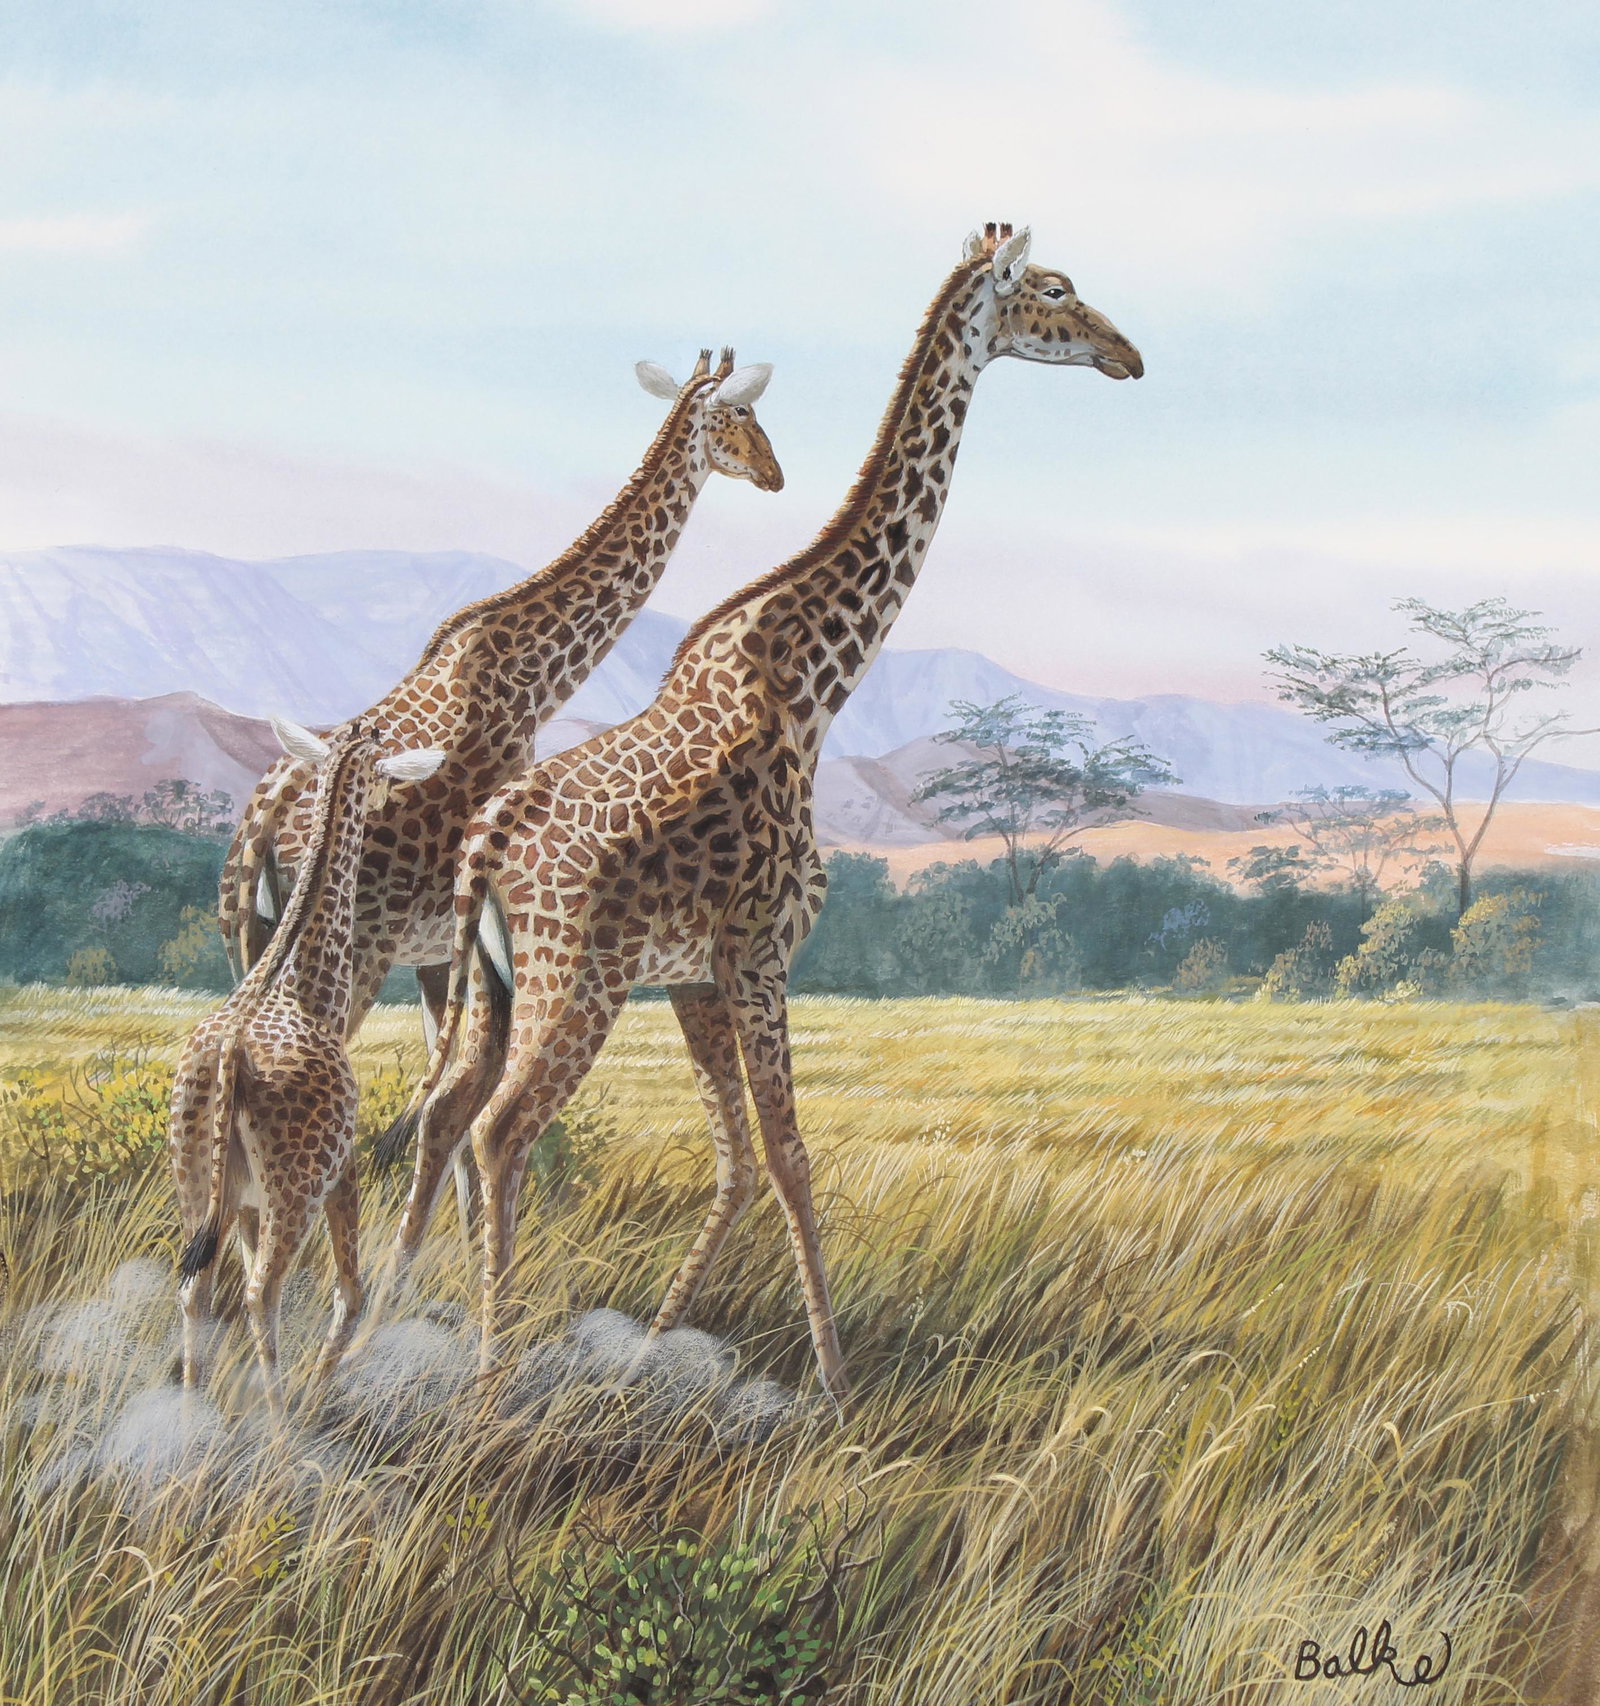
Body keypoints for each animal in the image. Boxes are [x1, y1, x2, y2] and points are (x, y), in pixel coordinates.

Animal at [173, 717, 446, 1421]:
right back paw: (279, 1426)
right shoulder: (341, 1170)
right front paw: (321, 1392)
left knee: (196, 1289)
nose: (385, 802)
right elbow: (351, 1291)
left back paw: (187, 1420)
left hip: (194, 1178)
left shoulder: (241, 1201)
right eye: (381, 767)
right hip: (295, 1189)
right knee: (262, 1292)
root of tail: (229, 1059)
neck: (309, 989)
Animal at [217, 348, 783, 1050]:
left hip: (246, 939)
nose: (775, 475)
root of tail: (260, 830)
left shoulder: (435, 949)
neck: (534, 681)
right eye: (744, 412)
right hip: (356, 945)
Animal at [392, 225, 1142, 1399]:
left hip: (502, 986)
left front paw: (653, 1345)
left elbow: (739, 1160)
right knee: (501, 1131)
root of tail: (487, 846)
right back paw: (488, 1368)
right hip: (578, 981)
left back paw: (366, 1328)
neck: (813, 686)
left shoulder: (698, 970)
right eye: (1057, 289)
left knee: (443, 1113)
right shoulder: (762, 949)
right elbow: (789, 1153)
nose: (1129, 355)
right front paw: (834, 1383)